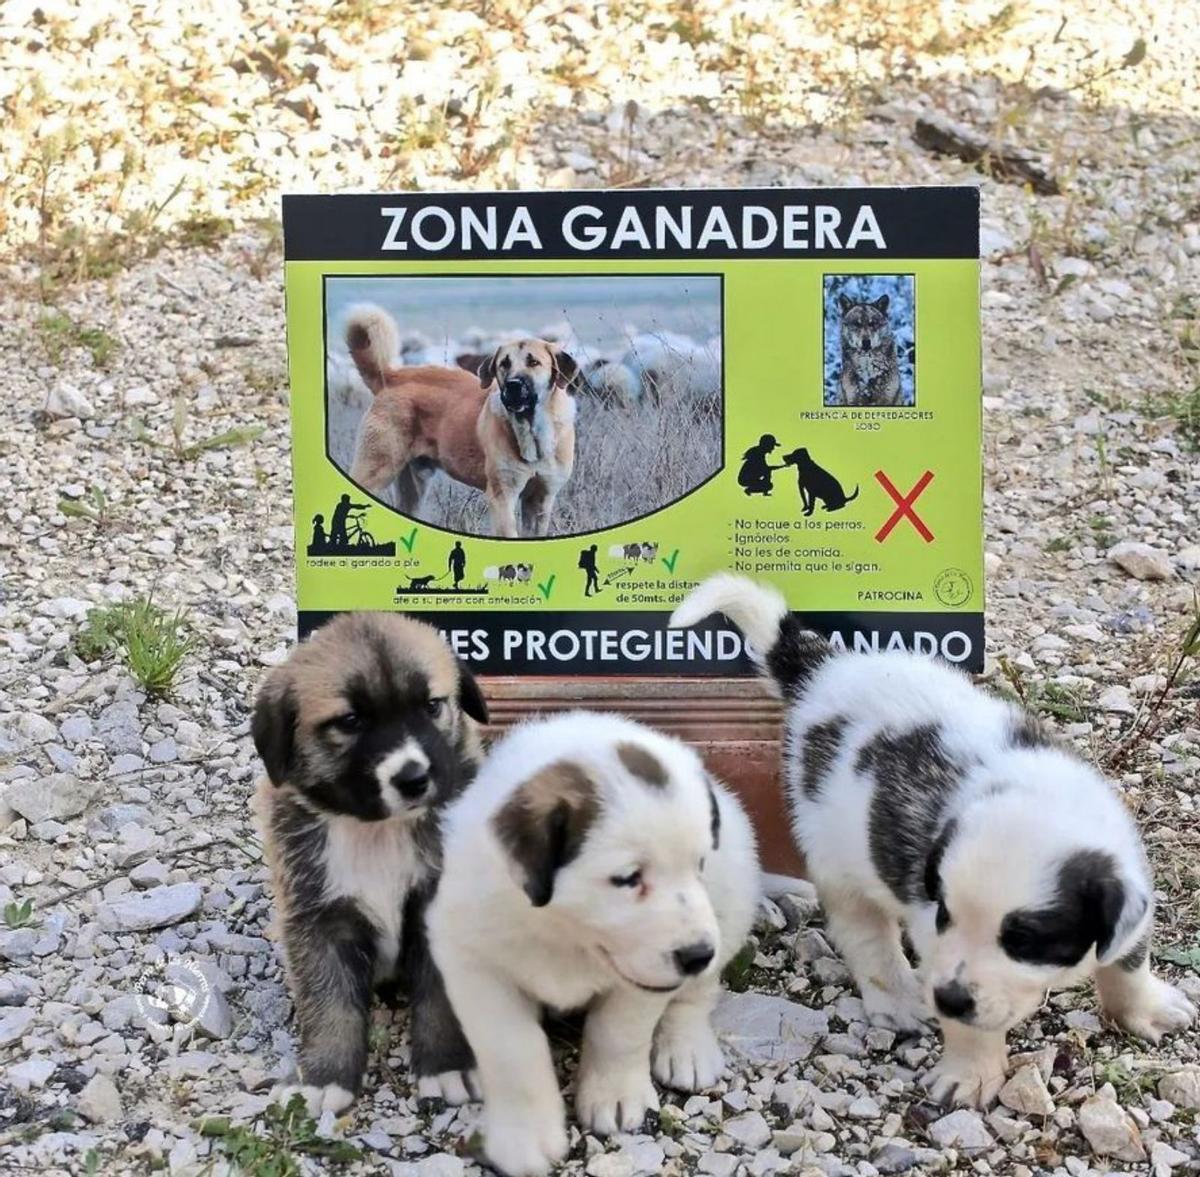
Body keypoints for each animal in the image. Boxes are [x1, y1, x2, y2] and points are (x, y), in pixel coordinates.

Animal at [250, 611, 489, 1118]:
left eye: (432, 706)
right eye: (351, 720)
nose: (414, 778)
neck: (379, 831)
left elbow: (442, 999)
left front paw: (447, 1066)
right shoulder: (319, 921)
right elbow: (329, 1005)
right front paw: (324, 1078)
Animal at [348, 305, 576, 539]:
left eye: (533, 362)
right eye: (504, 364)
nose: (512, 385)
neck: (532, 430)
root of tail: (391, 377)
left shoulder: (540, 500)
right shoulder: (503, 496)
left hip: (413, 487)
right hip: (376, 469)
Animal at [427, 705, 753, 1175]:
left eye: (699, 865)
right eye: (629, 878)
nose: (697, 954)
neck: (565, 930)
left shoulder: (644, 978)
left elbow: (618, 1032)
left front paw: (615, 1095)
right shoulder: (473, 961)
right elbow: (512, 1052)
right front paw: (524, 1137)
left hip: (734, 894)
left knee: (698, 994)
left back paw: (686, 1048)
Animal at [672, 573, 1195, 1108]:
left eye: (1024, 939)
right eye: (945, 914)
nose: (946, 998)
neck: (1042, 796)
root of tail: (826, 668)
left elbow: (1128, 965)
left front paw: (1146, 1009)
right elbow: (970, 1021)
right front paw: (970, 1071)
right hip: (836, 854)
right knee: (866, 935)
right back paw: (899, 998)